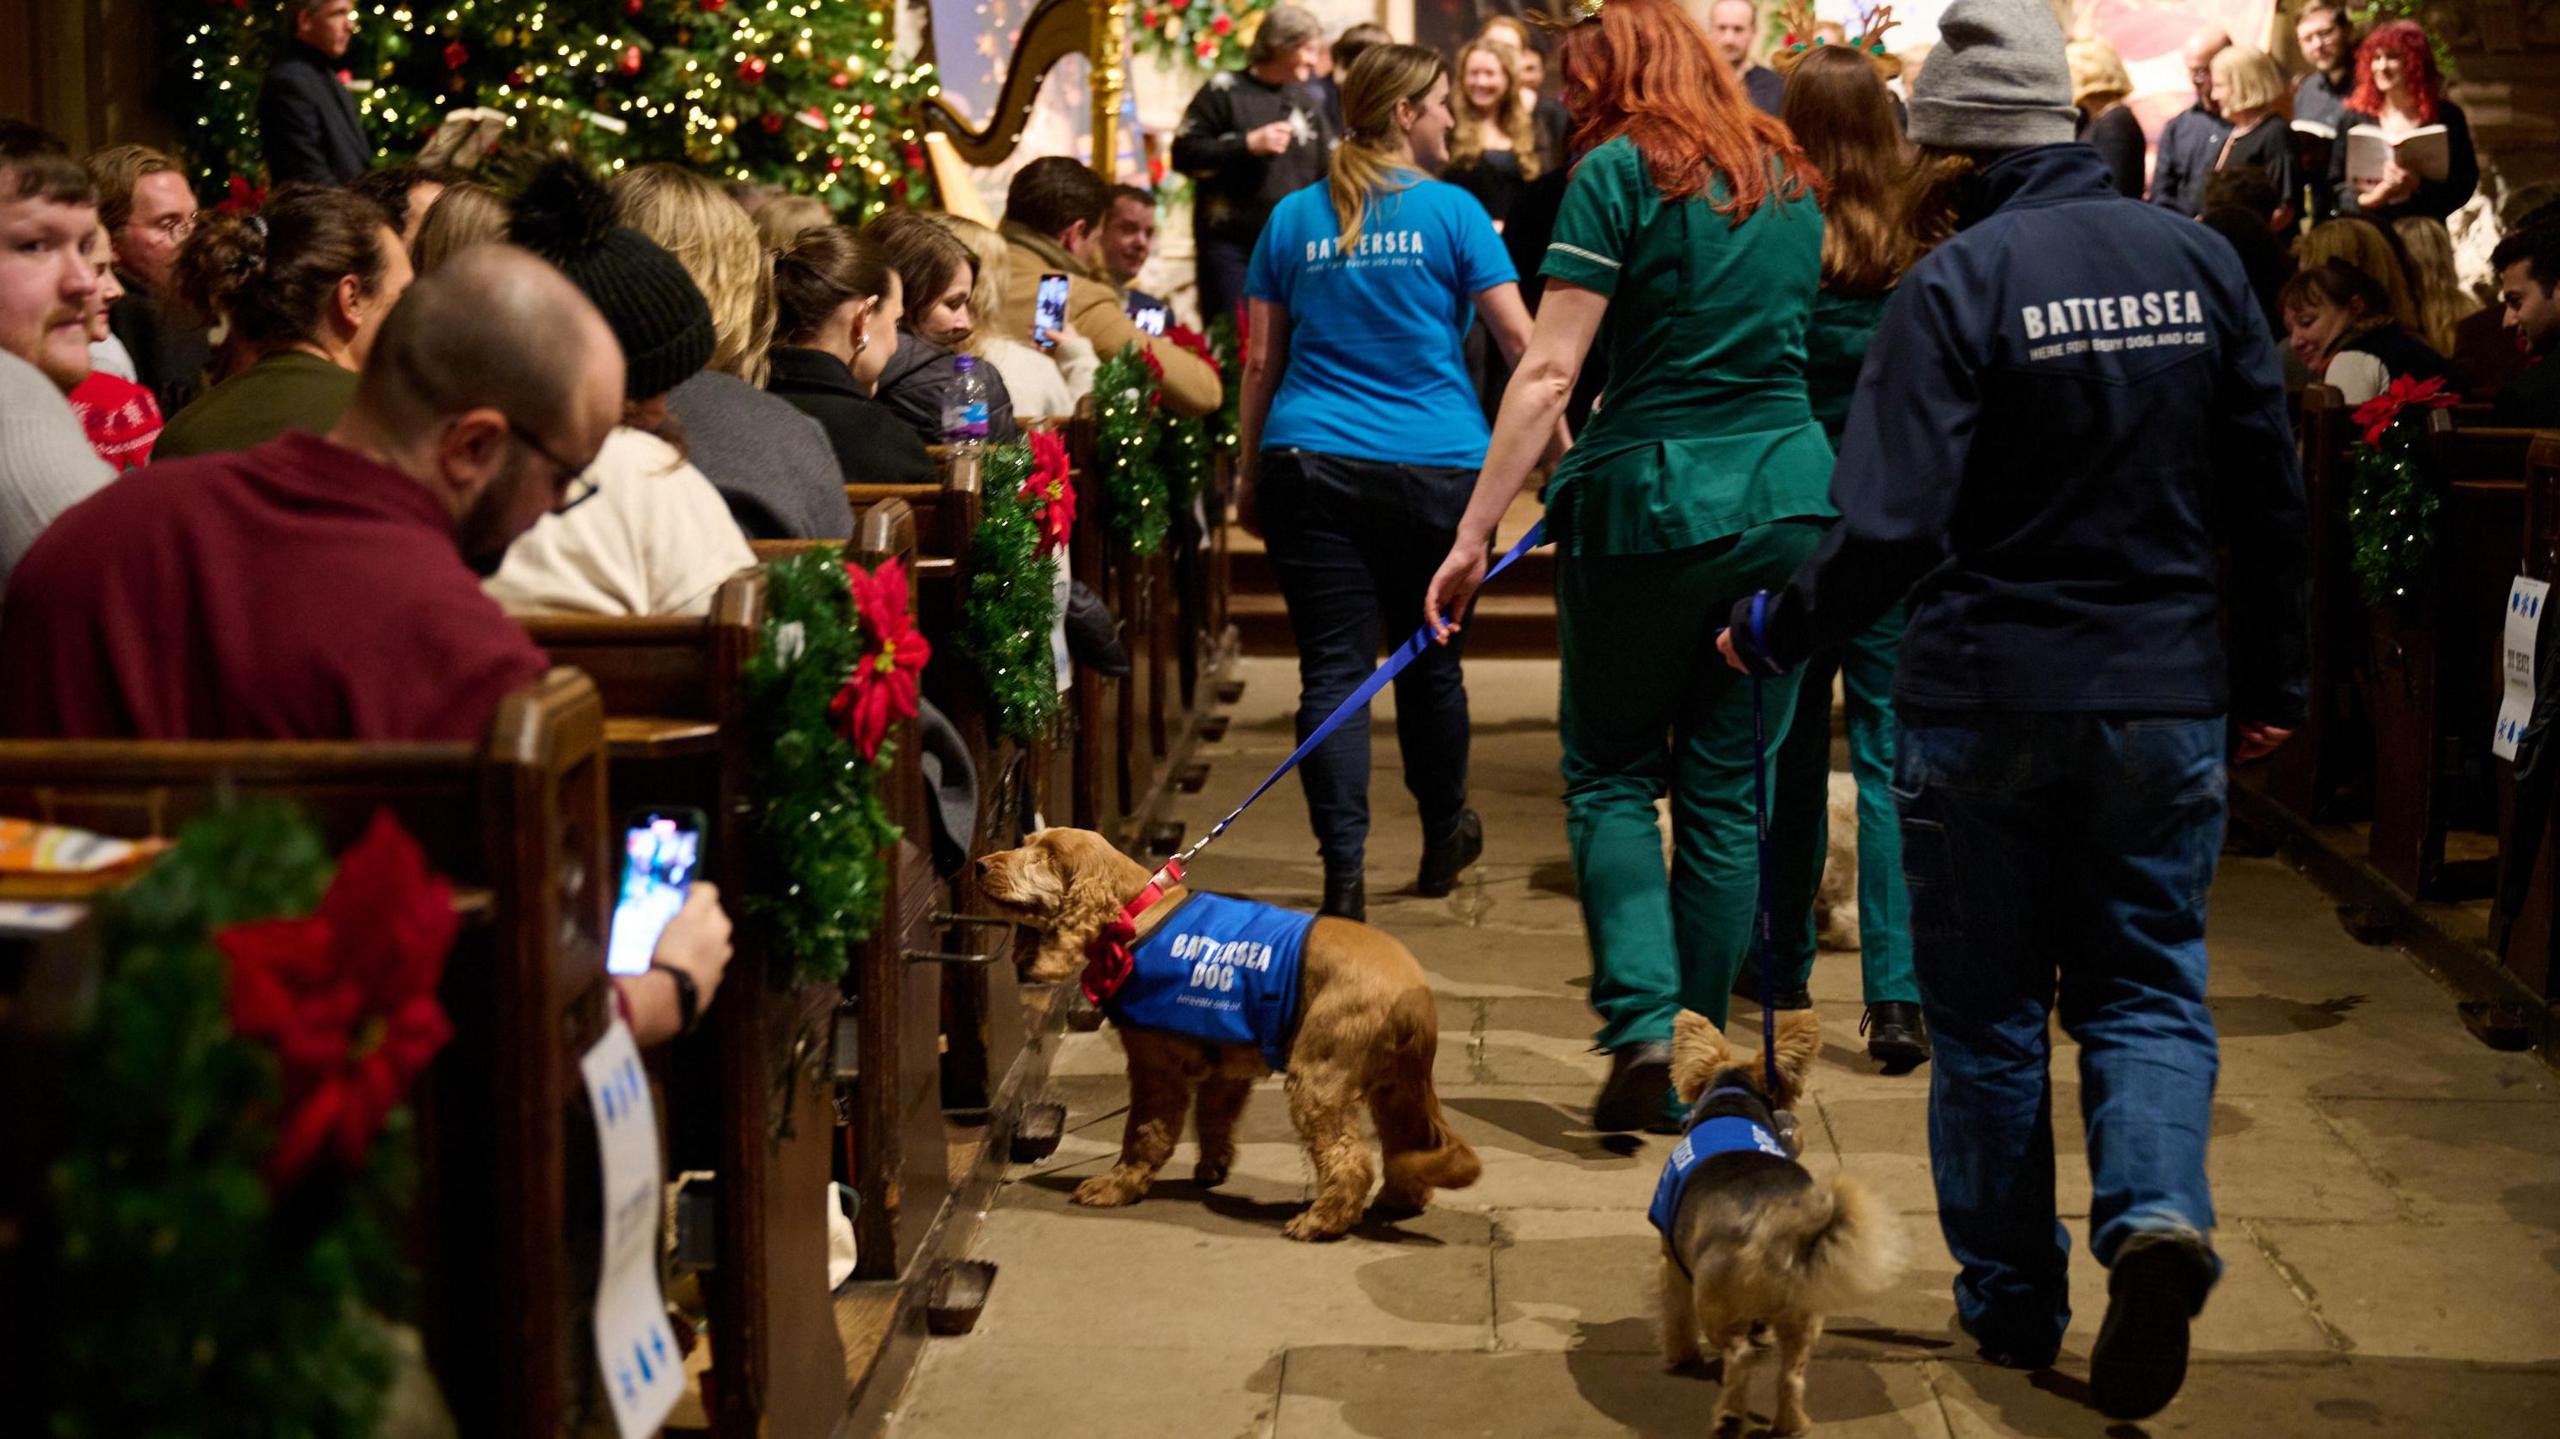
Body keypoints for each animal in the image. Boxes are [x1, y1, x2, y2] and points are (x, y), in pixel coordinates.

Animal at [972, 824, 1484, 1239]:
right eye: (1023, 843)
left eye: (1044, 857)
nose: (978, 864)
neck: (1137, 913)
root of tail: (1413, 994)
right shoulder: (1227, 1069)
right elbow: (1213, 1119)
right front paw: (1211, 1167)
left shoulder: (1154, 1066)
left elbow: (1144, 1133)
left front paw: (1118, 1186)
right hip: (1397, 1085)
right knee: (1408, 1143)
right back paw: (1399, 1200)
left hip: (1319, 1078)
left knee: (1351, 1160)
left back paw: (1321, 1222)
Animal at [1658, 1003, 1904, 1423]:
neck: (1733, 1102)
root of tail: (1784, 1231)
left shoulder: (1673, 1261)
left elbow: (1675, 1313)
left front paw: (1680, 1355)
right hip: (1804, 1314)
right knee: (1790, 1375)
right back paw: (1791, 1424)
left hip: (1714, 1300)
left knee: (1739, 1357)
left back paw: (1729, 1416)